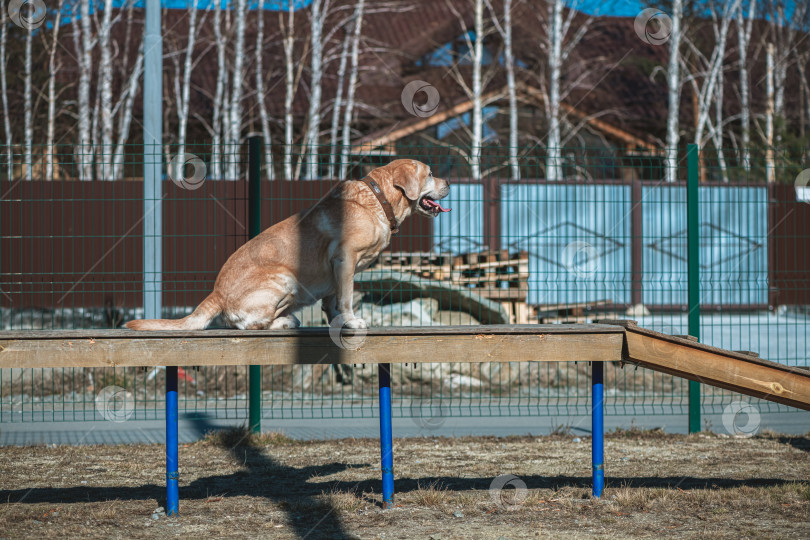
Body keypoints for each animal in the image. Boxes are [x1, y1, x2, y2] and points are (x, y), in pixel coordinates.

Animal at [126, 158, 448, 332]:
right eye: (431, 174)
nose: (447, 183)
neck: (379, 201)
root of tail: (215, 294)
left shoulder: (335, 271)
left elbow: (333, 302)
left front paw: (337, 322)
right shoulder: (344, 259)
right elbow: (346, 298)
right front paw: (351, 321)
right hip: (286, 278)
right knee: (248, 325)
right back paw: (285, 322)